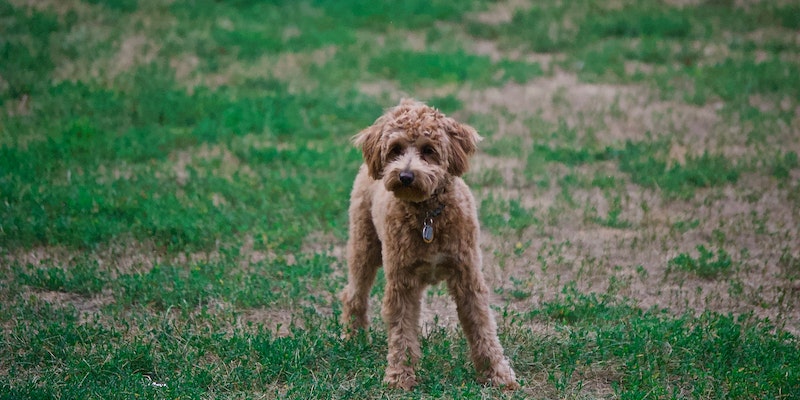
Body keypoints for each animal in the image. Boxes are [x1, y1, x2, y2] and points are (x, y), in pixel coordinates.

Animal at [340, 98, 520, 390]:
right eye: (395, 149)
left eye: (429, 150)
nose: (405, 176)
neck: (428, 216)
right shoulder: (401, 282)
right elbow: (401, 331)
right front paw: (400, 376)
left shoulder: (468, 275)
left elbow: (481, 326)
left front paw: (497, 374)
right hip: (364, 245)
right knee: (354, 293)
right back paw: (353, 338)